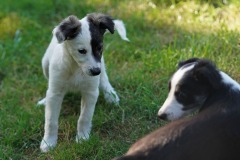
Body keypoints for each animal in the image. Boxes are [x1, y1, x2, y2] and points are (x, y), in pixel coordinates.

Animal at [37, 13, 128, 152]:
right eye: (81, 51)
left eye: (100, 48)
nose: (95, 71)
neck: (76, 68)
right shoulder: (55, 92)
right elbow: (51, 120)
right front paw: (48, 142)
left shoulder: (90, 92)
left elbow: (84, 117)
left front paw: (82, 138)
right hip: (45, 63)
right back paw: (44, 101)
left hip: (101, 67)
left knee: (104, 79)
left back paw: (111, 96)